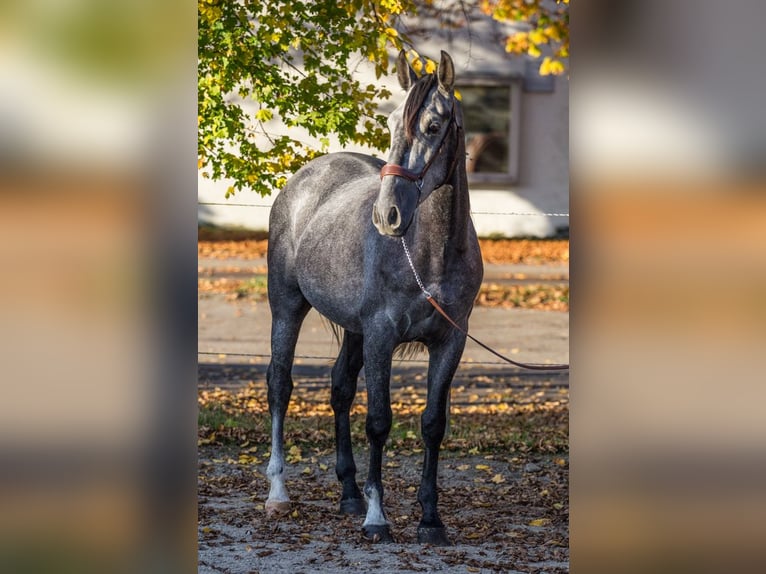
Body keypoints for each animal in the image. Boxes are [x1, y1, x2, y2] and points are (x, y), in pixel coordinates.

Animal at [264, 50, 480, 548]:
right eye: (389, 124)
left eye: (434, 126)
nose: (388, 215)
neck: (430, 253)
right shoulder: (382, 335)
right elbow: (379, 422)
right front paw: (378, 518)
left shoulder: (450, 342)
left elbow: (432, 424)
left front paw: (430, 520)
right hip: (287, 307)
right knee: (280, 385)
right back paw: (278, 491)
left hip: (354, 331)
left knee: (340, 388)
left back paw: (348, 494)